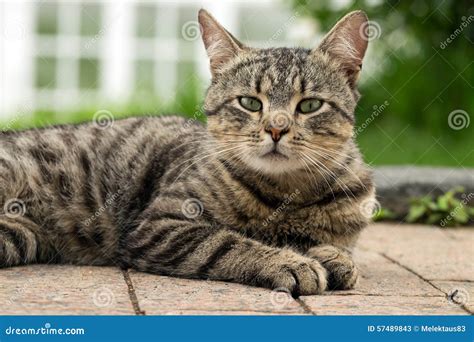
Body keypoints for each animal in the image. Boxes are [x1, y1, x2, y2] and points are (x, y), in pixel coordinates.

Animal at [1, 9, 376, 296]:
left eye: (310, 105)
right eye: (250, 103)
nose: (276, 129)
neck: (285, 193)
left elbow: (337, 249)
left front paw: (333, 258)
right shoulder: (161, 224)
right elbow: (227, 242)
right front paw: (288, 260)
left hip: (19, 237)